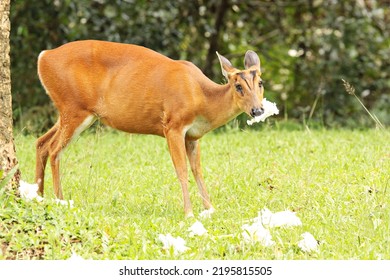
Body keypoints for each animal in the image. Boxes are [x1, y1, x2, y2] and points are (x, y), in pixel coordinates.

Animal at [36, 40, 266, 218]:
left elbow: (198, 170)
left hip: (69, 112)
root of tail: (43, 57)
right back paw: (60, 200)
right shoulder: (173, 124)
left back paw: (38, 196)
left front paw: (209, 209)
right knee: (55, 150)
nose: (258, 110)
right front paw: (189, 213)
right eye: (238, 86)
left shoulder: (193, 136)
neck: (202, 97)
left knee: (41, 143)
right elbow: (181, 170)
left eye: (261, 83)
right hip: (74, 107)